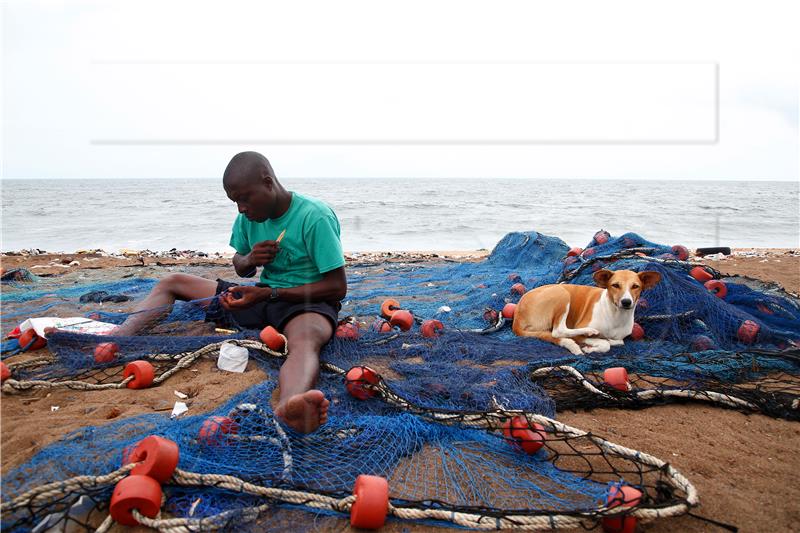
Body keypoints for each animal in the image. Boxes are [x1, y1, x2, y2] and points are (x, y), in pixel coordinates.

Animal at [512, 270, 664, 354]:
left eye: (635, 286)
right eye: (615, 285)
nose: (626, 302)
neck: (616, 316)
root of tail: (517, 316)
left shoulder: (620, 336)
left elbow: (618, 342)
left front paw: (603, 342)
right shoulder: (580, 333)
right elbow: (606, 344)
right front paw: (592, 347)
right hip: (562, 293)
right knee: (558, 331)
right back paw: (589, 332)